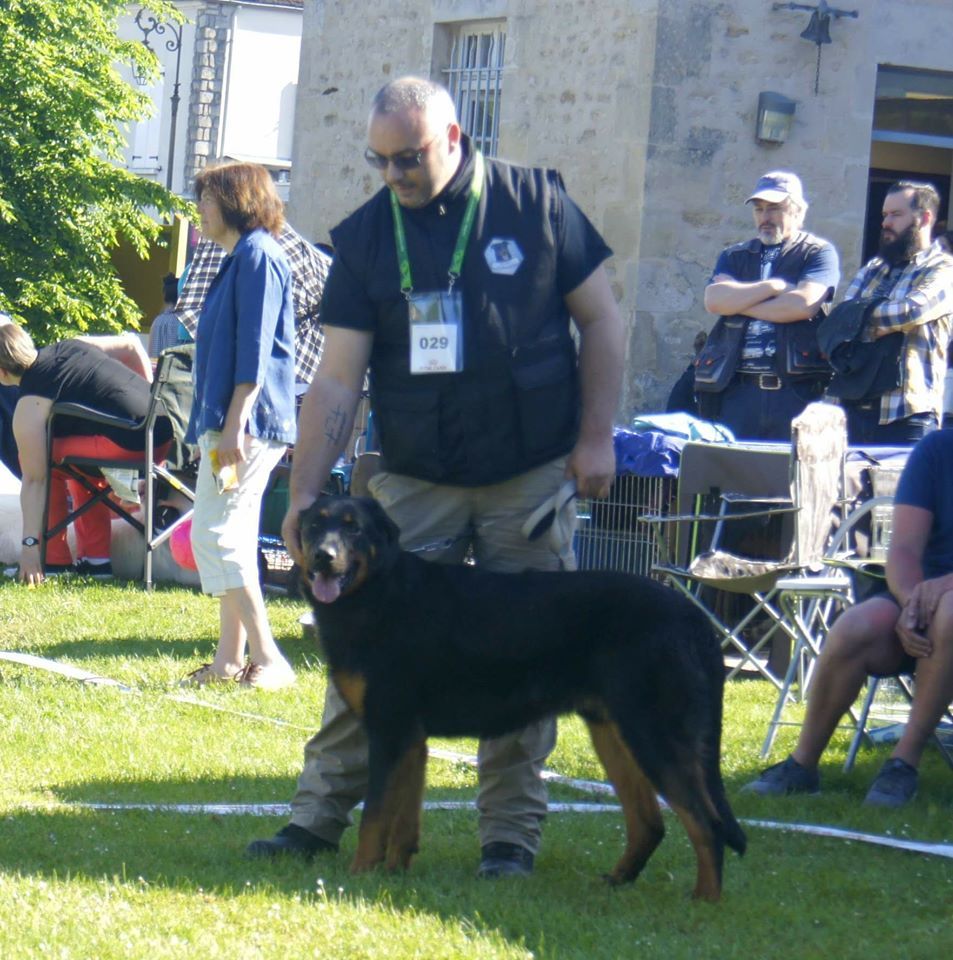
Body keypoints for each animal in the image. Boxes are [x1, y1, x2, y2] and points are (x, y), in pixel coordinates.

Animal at [302, 496, 748, 900]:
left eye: (354, 529)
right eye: (315, 526)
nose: (324, 556)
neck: (379, 592)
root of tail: (693, 618)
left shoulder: (389, 731)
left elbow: (375, 816)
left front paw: (359, 876)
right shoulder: (410, 738)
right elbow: (403, 820)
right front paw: (394, 873)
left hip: (654, 734)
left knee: (707, 825)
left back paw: (705, 901)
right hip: (615, 732)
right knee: (650, 822)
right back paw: (616, 883)